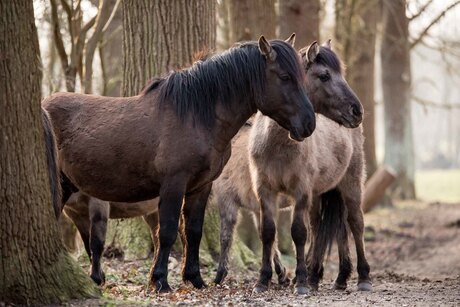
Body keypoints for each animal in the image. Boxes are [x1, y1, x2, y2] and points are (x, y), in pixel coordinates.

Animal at [44, 35, 316, 292]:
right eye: (285, 76)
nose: (309, 124)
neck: (195, 116)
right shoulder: (174, 184)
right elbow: (167, 231)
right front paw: (161, 281)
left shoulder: (201, 186)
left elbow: (192, 231)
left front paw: (194, 278)